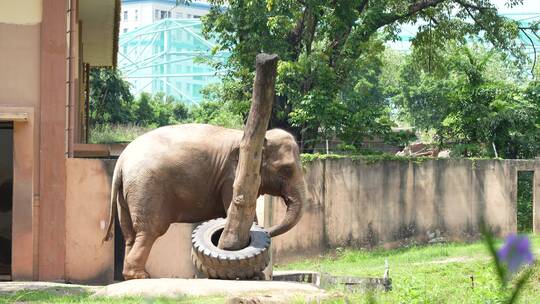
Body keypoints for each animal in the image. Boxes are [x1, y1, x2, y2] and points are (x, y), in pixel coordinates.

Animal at [101, 122, 304, 280]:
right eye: (286, 169)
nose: (268, 231)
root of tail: (121, 160)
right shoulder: (232, 178)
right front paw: (256, 276)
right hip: (146, 187)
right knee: (149, 231)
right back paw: (141, 276)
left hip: (126, 193)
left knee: (130, 234)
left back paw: (130, 276)